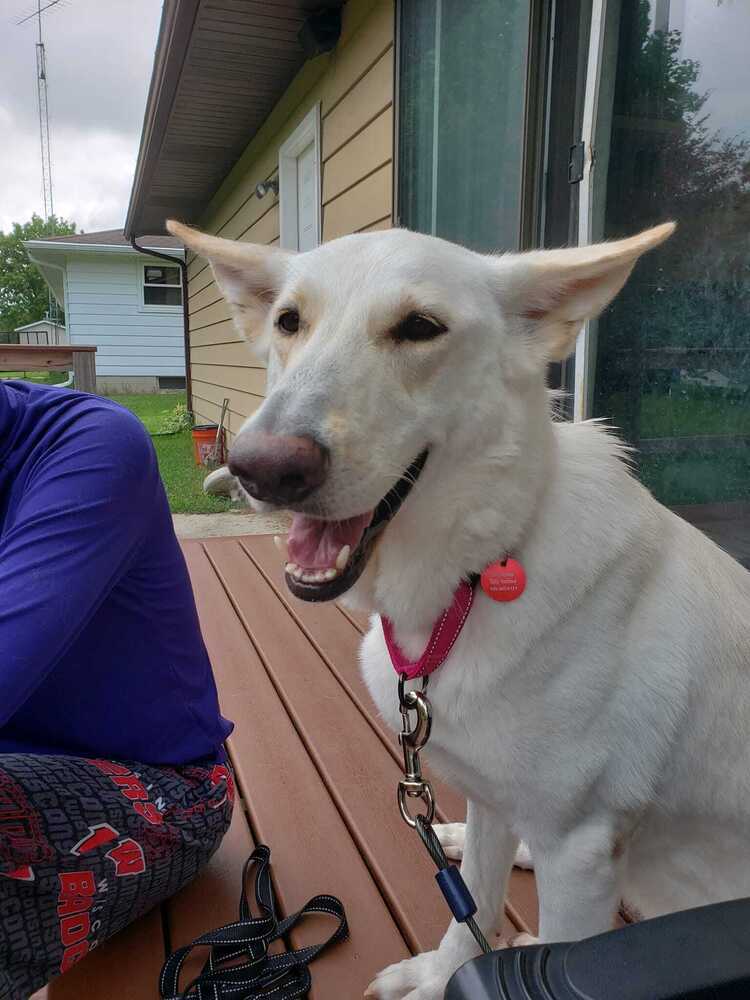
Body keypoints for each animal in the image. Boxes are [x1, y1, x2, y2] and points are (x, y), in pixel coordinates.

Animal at [169, 221, 750, 1000]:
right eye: (289, 322)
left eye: (420, 328)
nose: (262, 469)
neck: (470, 578)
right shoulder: (495, 802)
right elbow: (469, 898)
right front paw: (442, 972)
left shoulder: (581, 854)